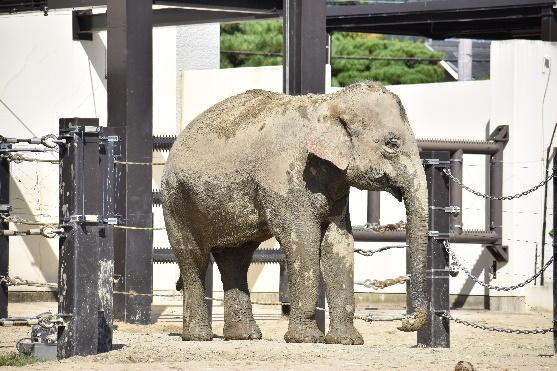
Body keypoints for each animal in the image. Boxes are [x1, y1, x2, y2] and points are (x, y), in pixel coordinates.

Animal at [159, 81, 428, 346]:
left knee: (235, 258)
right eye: (392, 144)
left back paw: (245, 336)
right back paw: (198, 336)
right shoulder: (286, 177)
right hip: (176, 202)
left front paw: (347, 341)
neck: (328, 102)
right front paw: (306, 339)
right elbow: (303, 239)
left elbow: (339, 243)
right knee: (193, 258)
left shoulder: (336, 185)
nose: (405, 323)